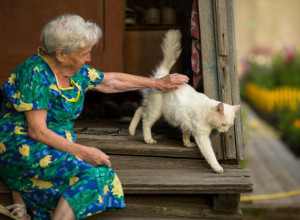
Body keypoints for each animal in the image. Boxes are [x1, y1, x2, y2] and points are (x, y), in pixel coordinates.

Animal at [128, 29, 239, 174]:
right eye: (223, 124)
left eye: (229, 125)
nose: (225, 131)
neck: (207, 112)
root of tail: (161, 76)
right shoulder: (202, 136)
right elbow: (210, 154)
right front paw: (217, 168)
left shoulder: (186, 122)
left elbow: (186, 133)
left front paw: (187, 144)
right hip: (156, 111)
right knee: (146, 121)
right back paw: (148, 139)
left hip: (151, 107)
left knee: (140, 110)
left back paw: (131, 130)